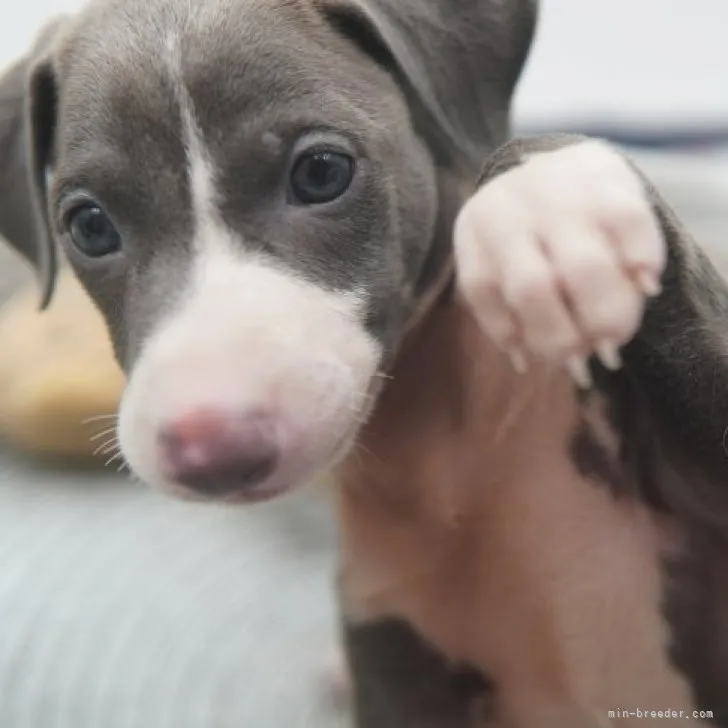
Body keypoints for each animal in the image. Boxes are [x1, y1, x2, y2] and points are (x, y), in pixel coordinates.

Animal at [1, 1, 728, 728]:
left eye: (322, 171)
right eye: (90, 226)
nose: (210, 448)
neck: (448, 434)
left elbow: (507, 147)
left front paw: (549, 211)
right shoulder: (397, 666)